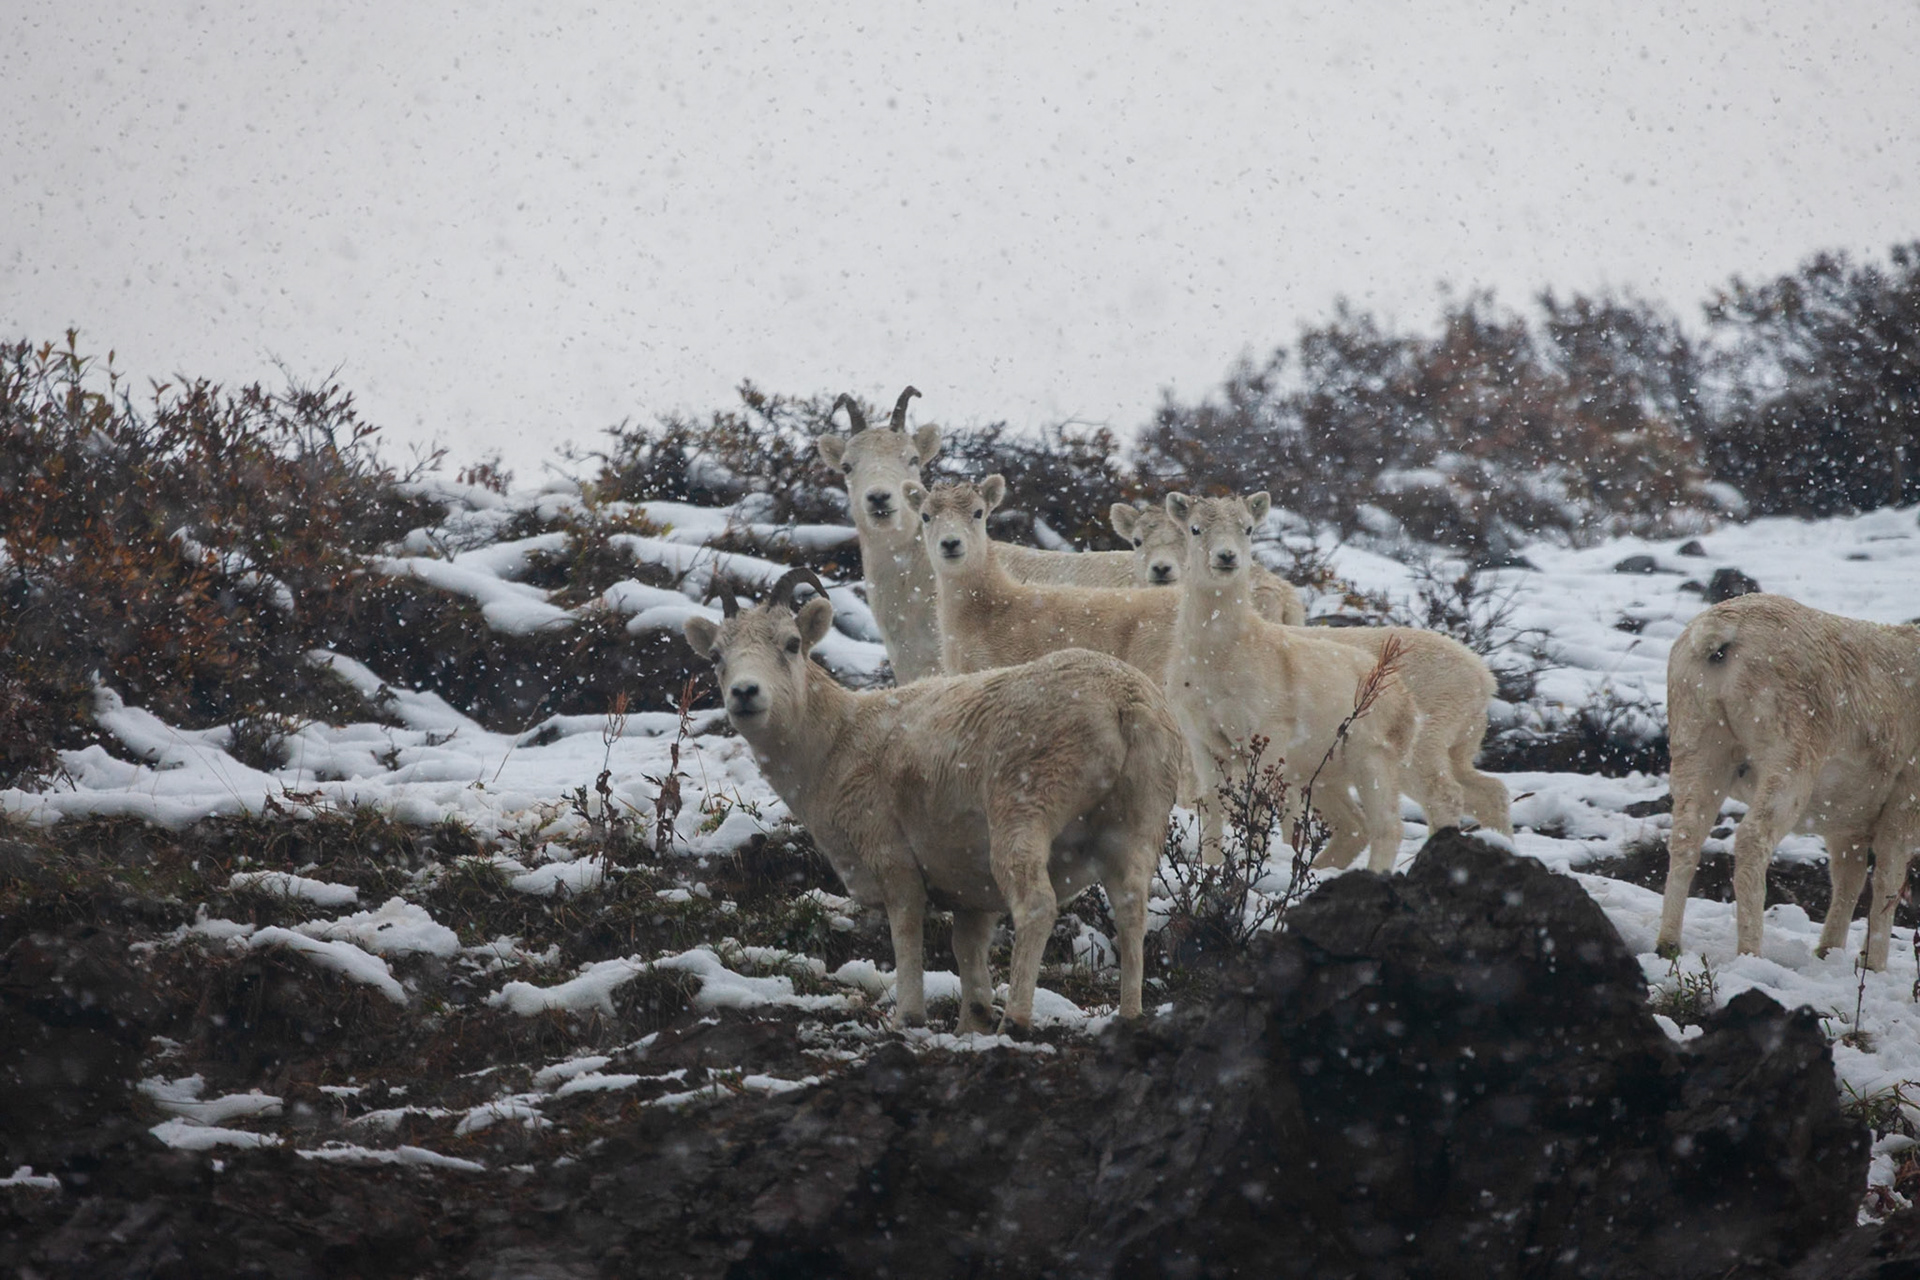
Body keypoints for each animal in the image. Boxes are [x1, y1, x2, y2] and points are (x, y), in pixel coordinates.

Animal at [681, 567, 1184, 1031]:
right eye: (717, 656)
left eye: (790, 644)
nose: (745, 693)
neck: (836, 743)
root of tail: (1122, 702)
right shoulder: (971, 895)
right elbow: (968, 955)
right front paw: (970, 1026)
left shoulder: (893, 861)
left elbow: (906, 935)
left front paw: (910, 1017)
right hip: (1136, 825)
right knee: (1131, 907)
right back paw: (1129, 1017)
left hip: (1024, 811)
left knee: (1037, 905)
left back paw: (1016, 1021)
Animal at [1165, 492, 1421, 872]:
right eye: (1195, 528)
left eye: (1248, 528)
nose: (1227, 557)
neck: (1219, 661)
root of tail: (1409, 704)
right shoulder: (1202, 739)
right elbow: (1211, 804)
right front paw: (1210, 866)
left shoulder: (1268, 734)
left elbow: (1256, 806)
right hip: (1322, 772)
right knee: (1353, 827)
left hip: (1372, 757)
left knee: (1386, 827)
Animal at [1656, 593, 1920, 970]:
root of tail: (1722, 635)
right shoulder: (1904, 807)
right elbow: (1886, 882)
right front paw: (1873, 966)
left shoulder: (1848, 828)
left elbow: (1848, 881)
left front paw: (1829, 952)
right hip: (1789, 760)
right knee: (1753, 840)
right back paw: (1751, 954)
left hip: (1698, 748)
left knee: (1685, 837)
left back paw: (1668, 946)